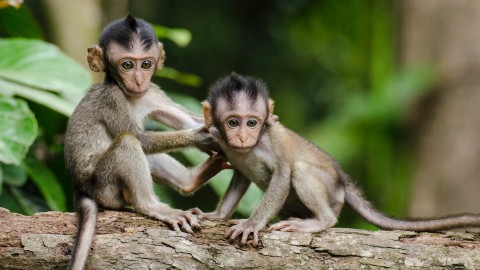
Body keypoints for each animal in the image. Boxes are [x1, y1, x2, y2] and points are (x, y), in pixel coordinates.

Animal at [194, 73, 480, 246]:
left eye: (252, 123)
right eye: (233, 123)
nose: (243, 136)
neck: (249, 148)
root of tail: (343, 183)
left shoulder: (272, 137)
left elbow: (284, 174)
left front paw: (251, 224)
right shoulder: (222, 140)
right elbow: (240, 176)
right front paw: (216, 215)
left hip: (332, 193)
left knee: (300, 170)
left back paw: (321, 221)